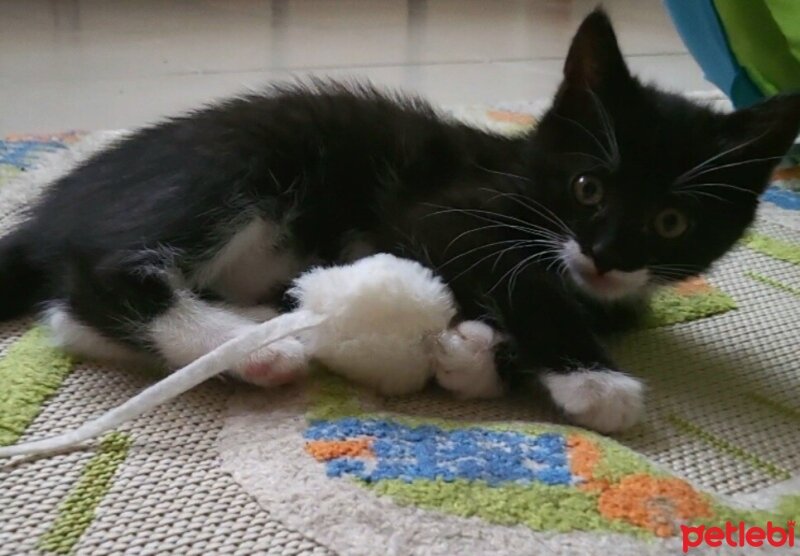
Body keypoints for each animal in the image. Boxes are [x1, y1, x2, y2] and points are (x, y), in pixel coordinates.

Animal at [1, 9, 800, 434]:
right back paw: (252, 347)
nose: (607, 254)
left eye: (671, 222)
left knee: (66, 317)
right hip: (236, 164)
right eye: (587, 186)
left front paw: (473, 356)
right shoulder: (442, 211)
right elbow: (522, 282)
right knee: (101, 270)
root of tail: (58, 201)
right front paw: (596, 382)